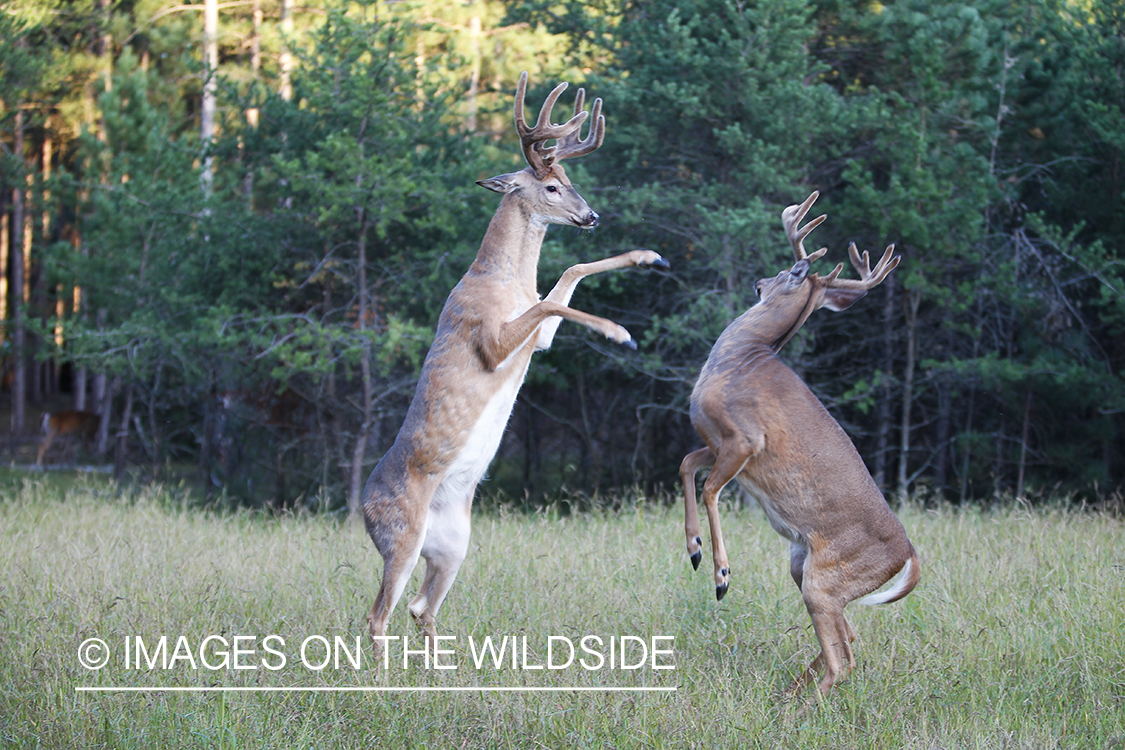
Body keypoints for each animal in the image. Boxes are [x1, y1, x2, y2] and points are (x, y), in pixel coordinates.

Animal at [360, 73, 661, 652]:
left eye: (568, 176)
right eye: (550, 187)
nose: (592, 215)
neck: (501, 278)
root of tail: (361, 508)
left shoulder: (538, 338)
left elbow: (567, 274)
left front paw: (647, 256)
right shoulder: (489, 338)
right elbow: (550, 300)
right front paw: (620, 332)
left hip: (454, 544)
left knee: (419, 607)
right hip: (400, 536)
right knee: (377, 616)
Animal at [679, 192, 918, 697]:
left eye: (790, 271)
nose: (758, 281)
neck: (741, 355)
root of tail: (908, 554)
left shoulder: (745, 438)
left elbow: (709, 488)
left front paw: (721, 574)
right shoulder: (715, 441)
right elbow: (687, 465)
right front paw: (693, 548)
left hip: (823, 580)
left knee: (843, 657)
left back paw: (801, 705)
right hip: (805, 568)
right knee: (850, 637)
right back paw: (790, 693)